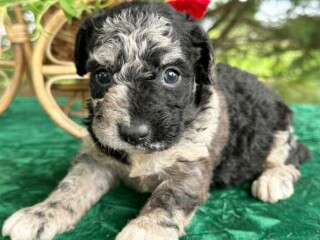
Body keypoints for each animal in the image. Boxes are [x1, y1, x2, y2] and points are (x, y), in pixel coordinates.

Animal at [1, 2, 310, 240]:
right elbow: (70, 186)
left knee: (292, 155)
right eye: (102, 75)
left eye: (171, 75)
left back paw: (273, 180)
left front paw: (144, 230)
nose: (134, 133)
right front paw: (39, 213)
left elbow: (169, 197)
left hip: (277, 133)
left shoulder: (191, 165)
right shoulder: (96, 157)